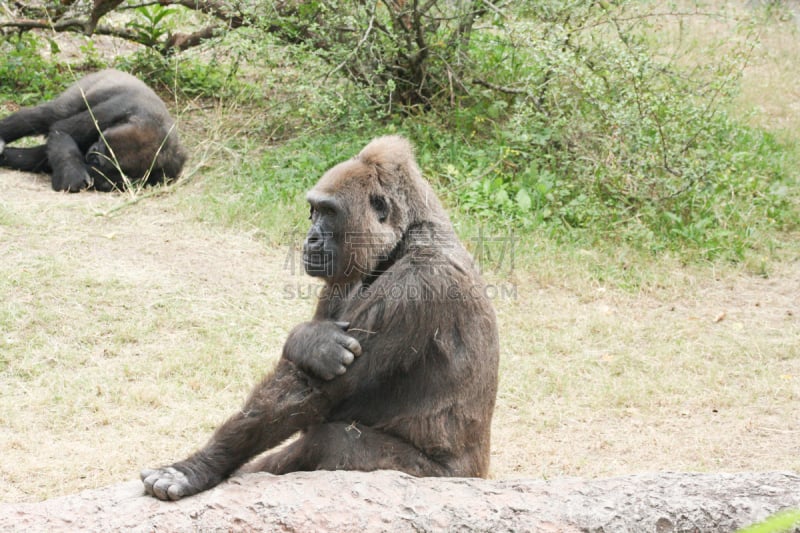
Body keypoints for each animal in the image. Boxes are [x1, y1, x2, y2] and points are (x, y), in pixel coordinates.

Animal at [0, 67, 186, 190]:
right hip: (85, 87)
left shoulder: (170, 170)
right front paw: (72, 176)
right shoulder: (115, 110)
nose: (91, 152)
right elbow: (62, 130)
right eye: (100, 141)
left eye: (98, 159)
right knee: (50, 115)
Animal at [141, 135, 496, 500]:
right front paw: (308, 341)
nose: (310, 238)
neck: (405, 236)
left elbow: (315, 392)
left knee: (331, 442)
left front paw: (197, 466)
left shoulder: (416, 285)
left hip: (439, 477)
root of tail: (480, 475)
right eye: (313, 210)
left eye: (329, 212)